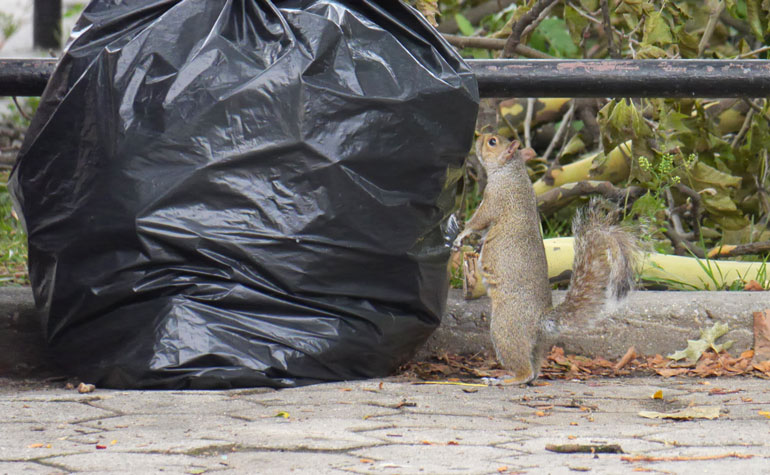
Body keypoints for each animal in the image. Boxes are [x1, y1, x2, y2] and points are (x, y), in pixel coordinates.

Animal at [450, 133, 636, 384]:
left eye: (492, 142)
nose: (477, 138)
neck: (510, 171)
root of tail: (540, 321)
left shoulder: (495, 199)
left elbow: (478, 221)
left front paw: (461, 235)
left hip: (504, 327)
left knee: (524, 370)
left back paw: (504, 379)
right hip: (536, 345)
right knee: (534, 368)